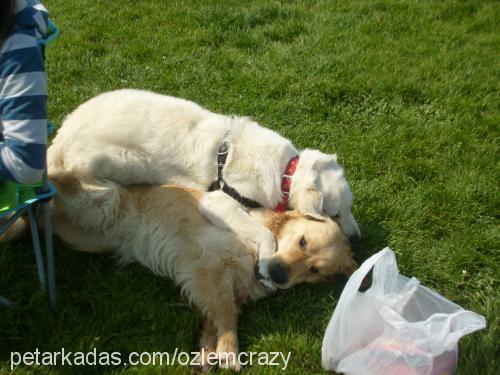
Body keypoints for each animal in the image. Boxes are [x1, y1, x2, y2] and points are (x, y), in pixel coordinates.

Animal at [47, 89, 360, 288]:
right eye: (335, 214)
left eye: (350, 207)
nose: (358, 239)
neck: (287, 171)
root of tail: (56, 142)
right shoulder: (217, 201)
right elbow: (266, 235)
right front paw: (265, 266)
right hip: (120, 162)